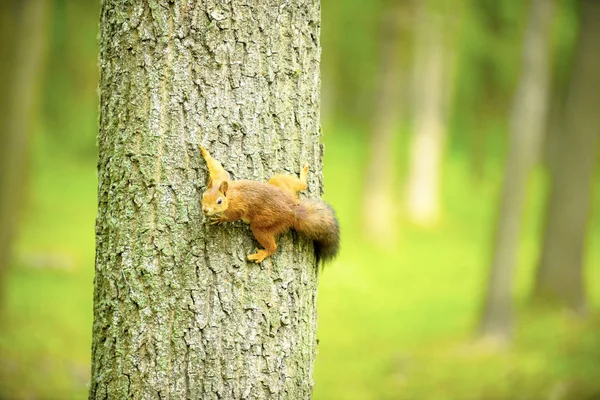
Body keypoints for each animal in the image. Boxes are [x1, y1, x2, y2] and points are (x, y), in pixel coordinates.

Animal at [200, 145, 338, 264]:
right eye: (203, 196)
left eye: (219, 201)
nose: (205, 210)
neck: (230, 195)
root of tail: (292, 209)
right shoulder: (220, 179)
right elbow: (217, 169)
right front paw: (205, 153)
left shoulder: (237, 207)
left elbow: (234, 215)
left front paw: (221, 218)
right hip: (280, 184)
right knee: (302, 185)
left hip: (265, 222)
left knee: (272, 246)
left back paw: (261, 254)